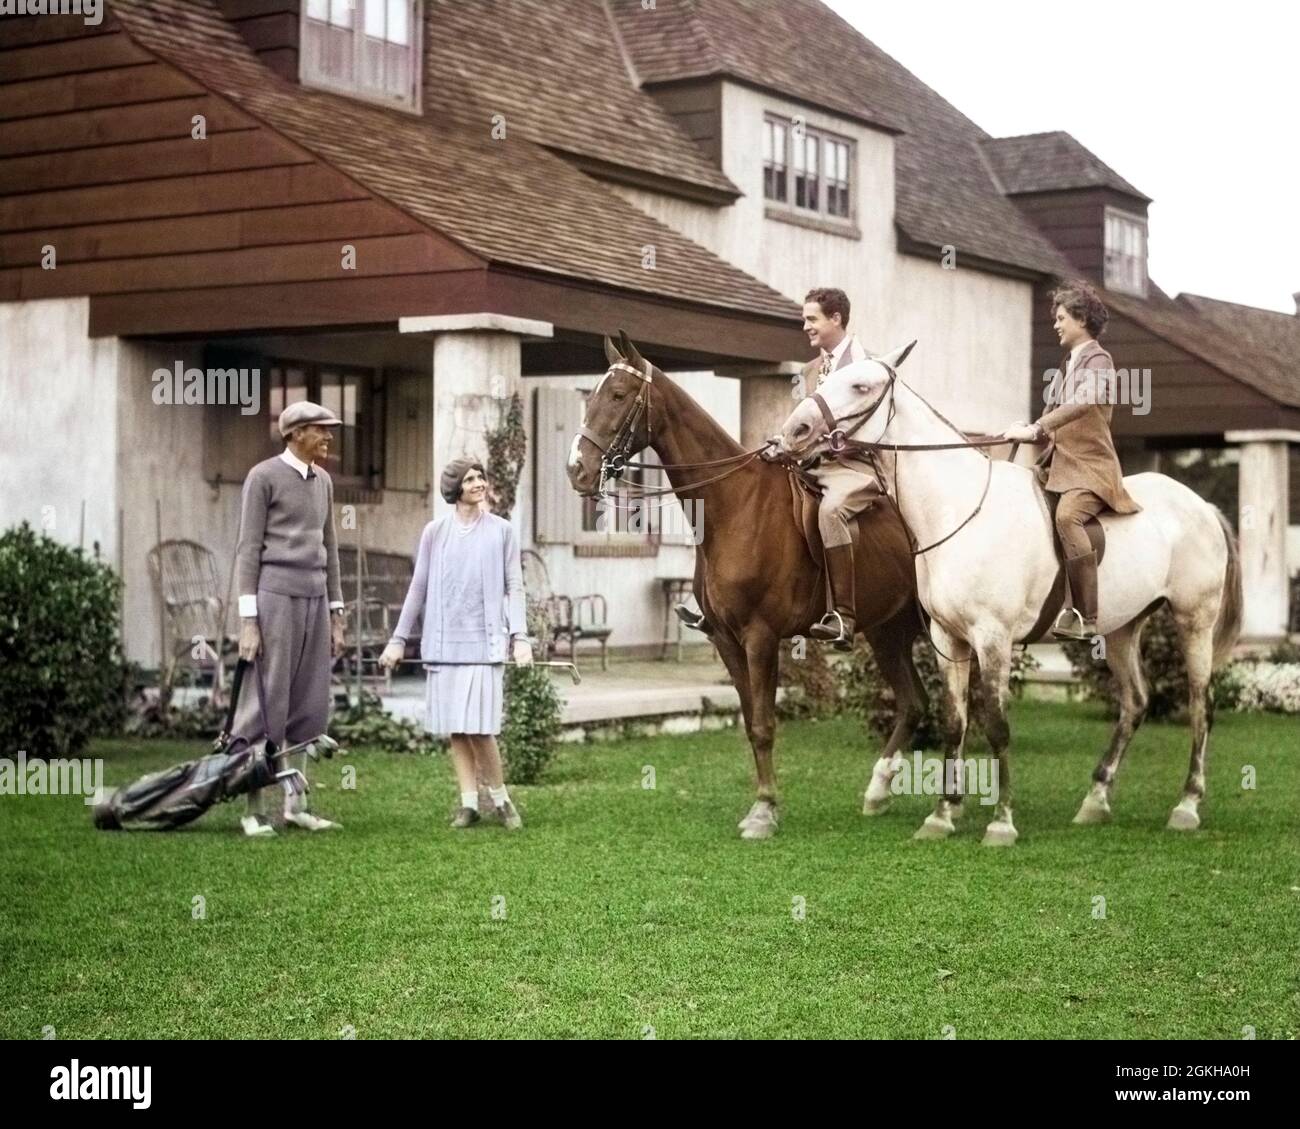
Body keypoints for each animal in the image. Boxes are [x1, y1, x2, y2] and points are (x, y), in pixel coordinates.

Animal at [569, 335, 925, 837]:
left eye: (618, 395)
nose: (577, 470)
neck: (733, 504)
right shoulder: (725, 638)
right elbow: (750, 722)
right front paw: (765, 803)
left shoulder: (760, 637)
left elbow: (764, 724)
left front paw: (764, 812)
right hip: (887, 631)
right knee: (914, 703)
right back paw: (879, 793)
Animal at [774, 343, 1242, 848]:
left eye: (861, 386)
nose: (795, 432)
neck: (958, 509)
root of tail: (1202, 506)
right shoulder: (949, 639)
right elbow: (955, 721)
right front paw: (942, 814)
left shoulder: (992, 638)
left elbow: (996, 724)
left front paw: (1001, 821)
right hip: (1121, 629)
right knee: (1135, 703)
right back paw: (1095, 800)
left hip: (1194, 620)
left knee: (1201, 705)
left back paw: (1187, 805)